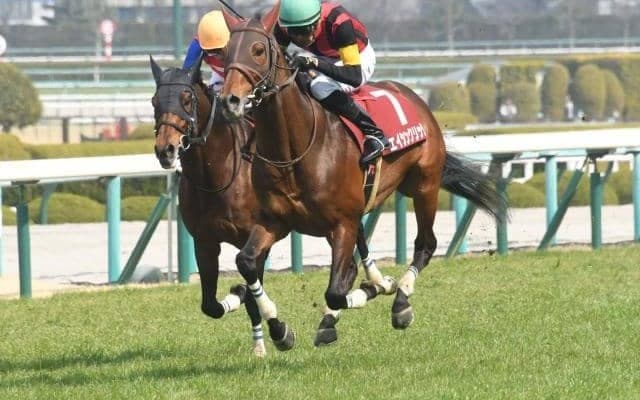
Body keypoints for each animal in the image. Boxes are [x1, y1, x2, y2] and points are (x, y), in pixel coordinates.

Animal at [218, 2, 506, 351]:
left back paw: (400, 300)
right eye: (227, 51)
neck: (294, 150)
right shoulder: (274, 221)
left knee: (425, 244)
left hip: (424, 185)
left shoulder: (342, 222)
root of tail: (412, 96)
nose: (230, 100)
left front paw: (380, 288)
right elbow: (247, 263)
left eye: (258, 50)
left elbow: (337, 290)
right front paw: (279, 328)